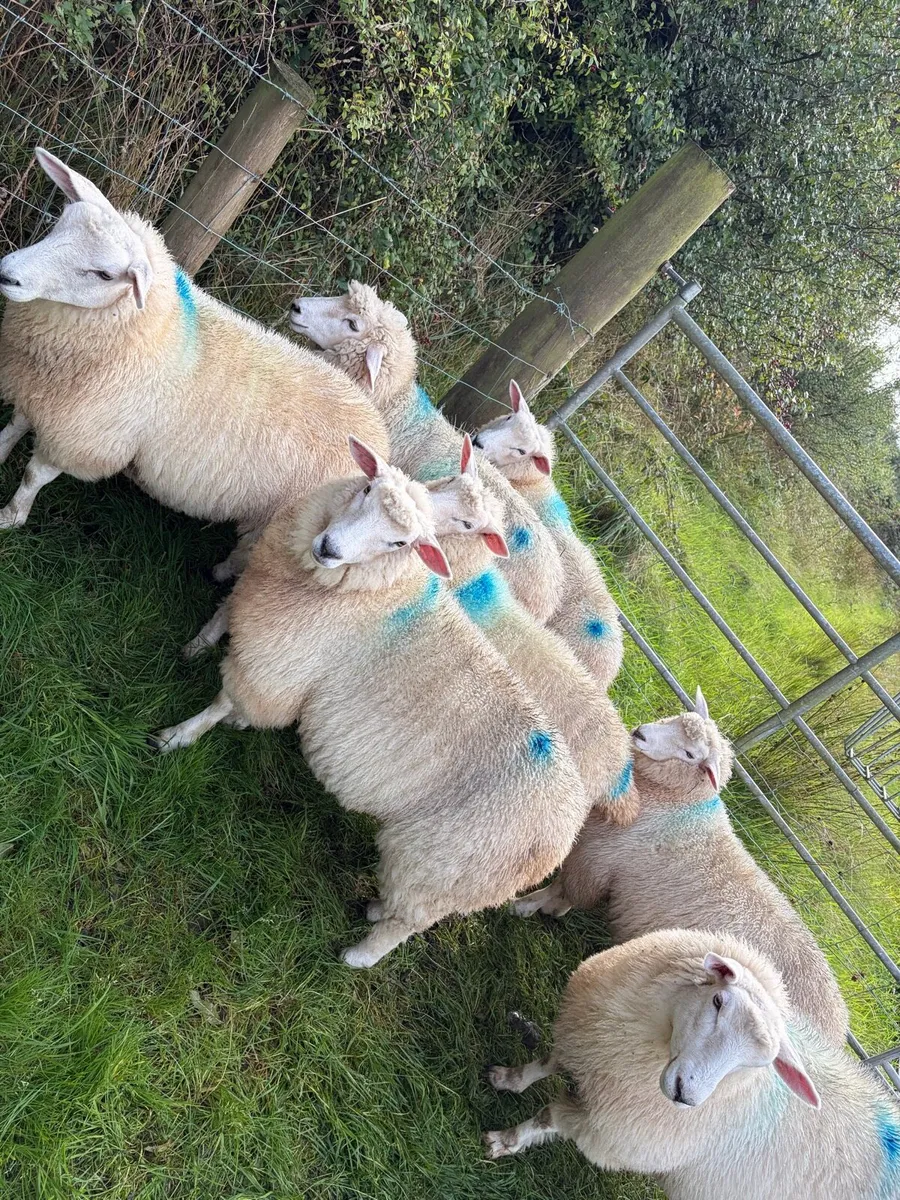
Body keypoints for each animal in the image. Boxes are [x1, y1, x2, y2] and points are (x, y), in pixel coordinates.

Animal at [0, 149, 389, 567]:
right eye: (60, 223)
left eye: (104, 274)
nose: (7, 274)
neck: (150, 330)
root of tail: (378, 432)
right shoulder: (42, 391)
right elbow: (13, 427)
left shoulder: (84, 436)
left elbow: (34, 476)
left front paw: (10, 516)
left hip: (280, 521)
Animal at [151, 437, 589, 968]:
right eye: (365, 489)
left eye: (401, 544)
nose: (329, 549)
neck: (381, 590)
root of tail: (566, 831)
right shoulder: (261, 605)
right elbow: (221, 615)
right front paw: (196, 648)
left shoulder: (280, 665)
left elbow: (222, 701)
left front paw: (179, 736)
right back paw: (377, 908)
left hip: (443, 863)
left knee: (411, 921)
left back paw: (359, 954)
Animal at [482, 927, 900, 1200]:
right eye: (718, 1002)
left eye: (759, 1062)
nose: (687, 1095)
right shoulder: (585, 1043)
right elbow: (543, 1063)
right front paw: (509, 1079)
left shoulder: (610, 1129)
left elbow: (546, 1118)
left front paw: (505, 1141)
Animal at [513, 691, 850, 1046]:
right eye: (677, 719)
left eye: (690, 754)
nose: (641, 734)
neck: (678, 806)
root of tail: (840, 1030)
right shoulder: (601, 862)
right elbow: (565, 894)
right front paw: (547, 909)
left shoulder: (598, 859)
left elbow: (561, 889)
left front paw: (526, 905)